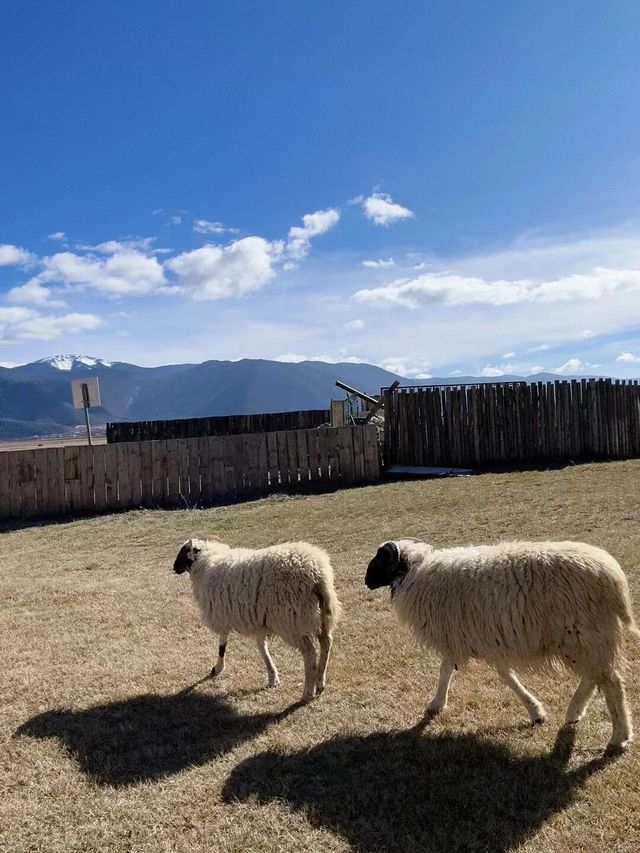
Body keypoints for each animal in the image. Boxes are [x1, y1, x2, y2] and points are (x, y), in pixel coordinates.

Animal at [170, 540, 340, 700]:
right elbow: (261, 647)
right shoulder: (259, 621)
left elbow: (222, 646)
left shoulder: (223, 617)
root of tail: (318, 574)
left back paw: (308, 692)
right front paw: (272, 677)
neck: (206, 563)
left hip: (292, 621)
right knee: (326, 643)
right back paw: (320, 681)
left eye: (183, 552)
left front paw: (217, 668)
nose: (174, 567)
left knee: (310, 653)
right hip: (323, 617)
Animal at [368, 536, 636, 748]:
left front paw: (435, 705)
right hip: (584, 641)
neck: (414, 573)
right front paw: (536, 711)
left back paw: (619, 737)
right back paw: (574, 712)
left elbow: (447, 671)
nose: (366, 581)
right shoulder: (487, 639)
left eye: (381, 560)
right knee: (595, 677)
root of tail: (614, 579)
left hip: (585, 636)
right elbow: (503, 675)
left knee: (612, 683)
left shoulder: (457, 638)